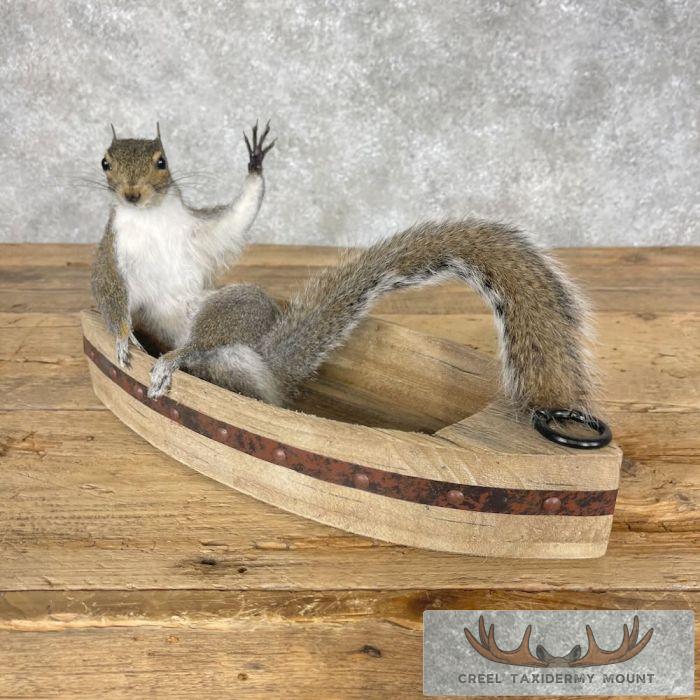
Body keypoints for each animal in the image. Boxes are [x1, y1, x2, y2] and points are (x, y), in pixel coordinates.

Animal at [90, 121, 275, 366]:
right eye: (105, 163)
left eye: (162, 162)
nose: (132, 194)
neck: (149, 214)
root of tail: (177, 332)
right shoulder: (113, 246)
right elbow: (106, 283)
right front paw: (123, 337)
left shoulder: (197, 228)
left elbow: (236, 218)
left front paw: (255, 163)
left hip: (222, 305)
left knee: (203, 339)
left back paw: (175, 356)